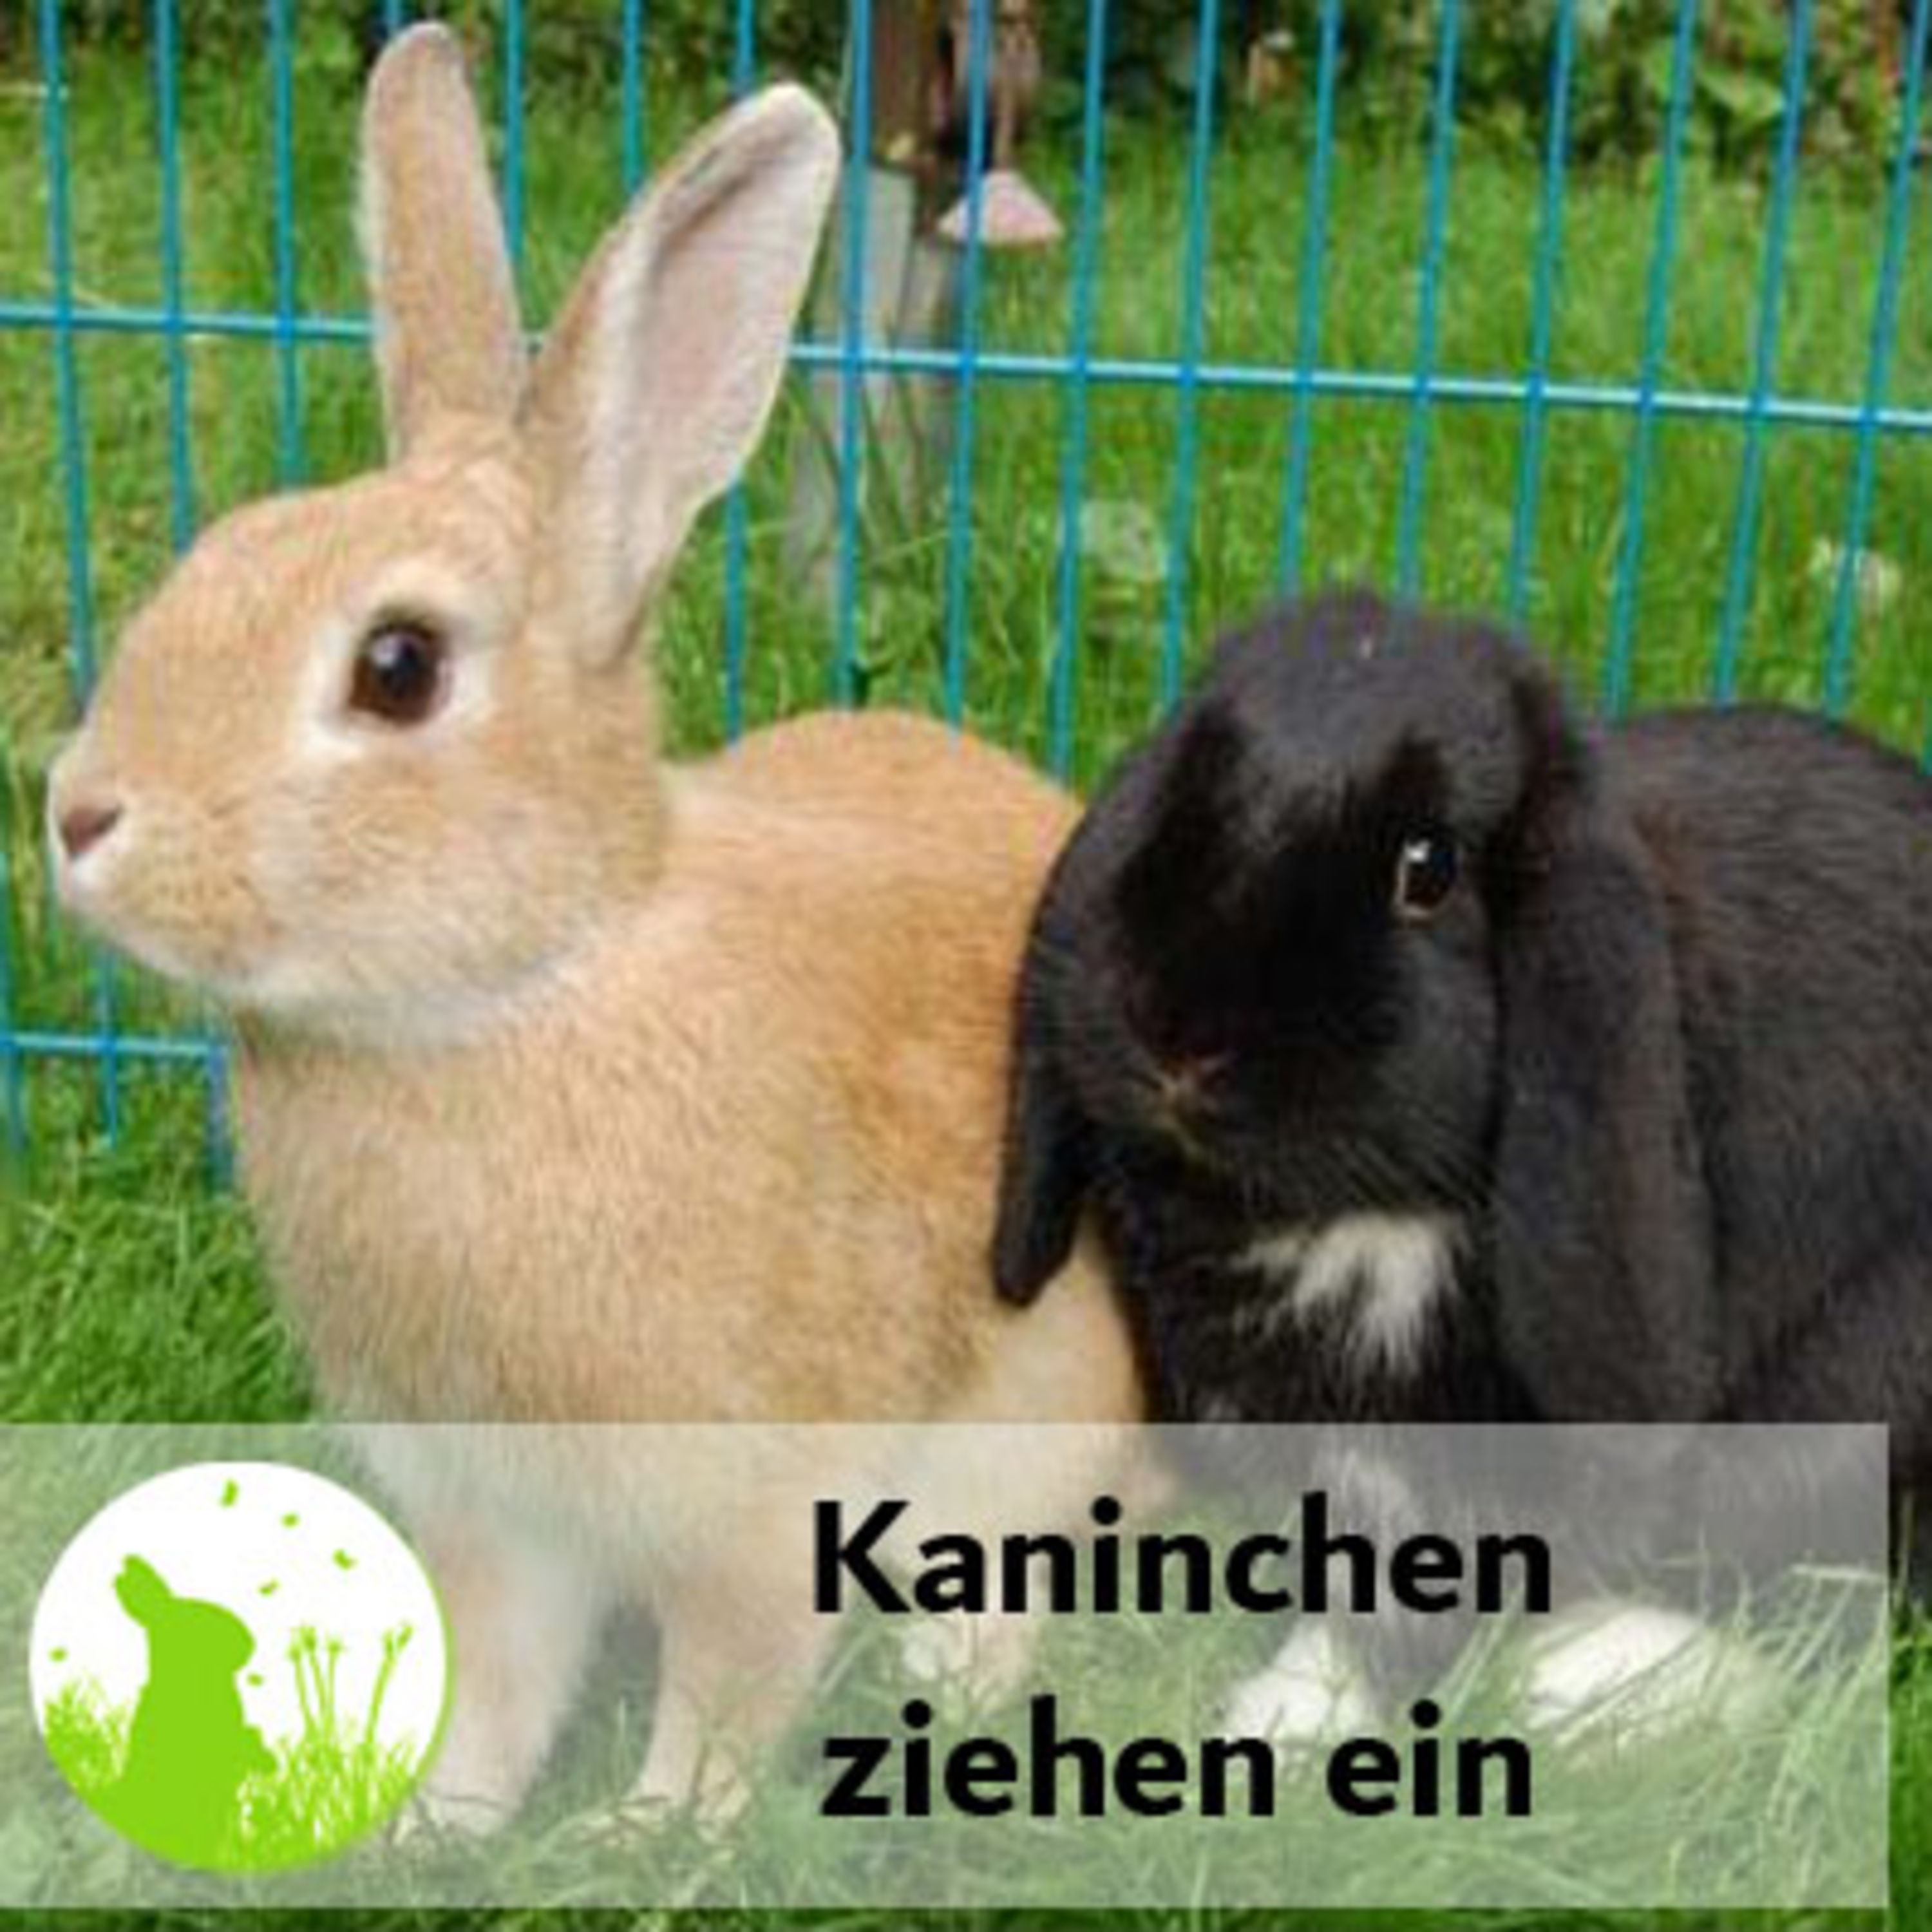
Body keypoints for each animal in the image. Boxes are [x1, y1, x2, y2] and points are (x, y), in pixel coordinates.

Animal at [47, 27, 1144, 1829]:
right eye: (218, 555)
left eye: (399, 667)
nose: (78, 817)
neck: (528, 984)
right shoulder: (490, 1512)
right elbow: (496, 1680)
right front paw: (435, 1825)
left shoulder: (754, 1504)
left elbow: (726, 1685)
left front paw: (652, 1835)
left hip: (1030, 1425)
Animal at [993, 587, 1931, 1733]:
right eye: (1182, 785)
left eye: (1427, 870)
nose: (1178, 1036)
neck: (1327, 1209)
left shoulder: (1436, 1465)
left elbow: (1388, 1603)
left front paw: (1285, 1722)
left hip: (1852, 1401)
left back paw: (1595, 1682)